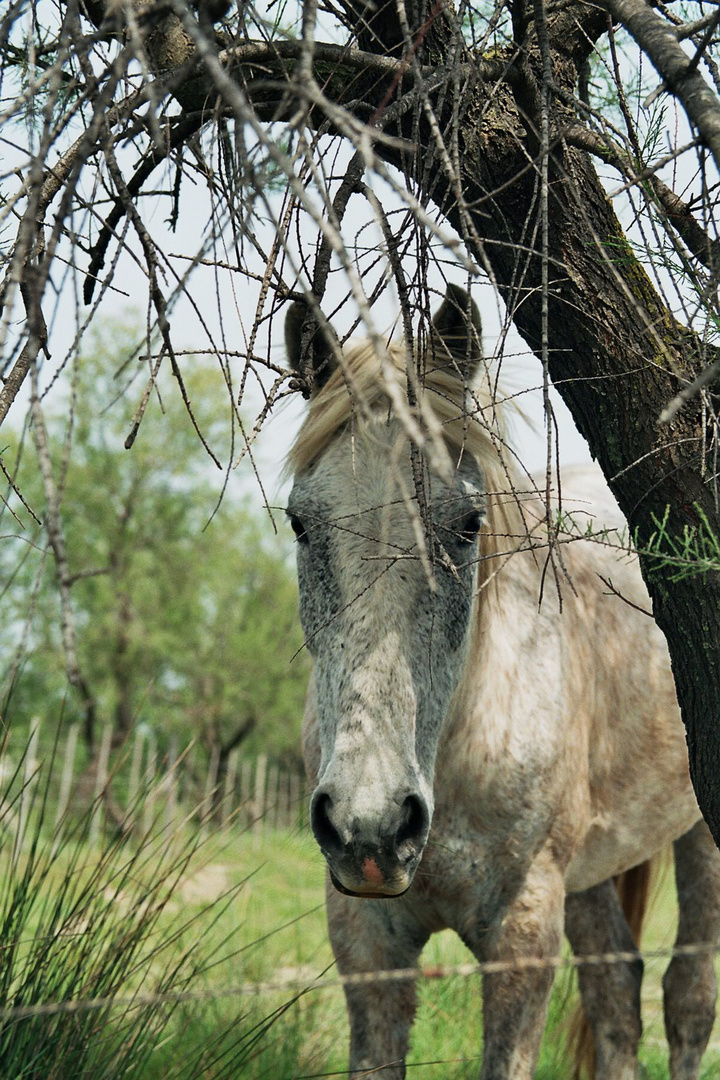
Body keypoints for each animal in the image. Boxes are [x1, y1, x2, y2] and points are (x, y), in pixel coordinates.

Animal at [280, 282, 720, 1075]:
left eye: (467, 523)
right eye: (301, 522)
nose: (373, 826)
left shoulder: (522, 935)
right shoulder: (365, 940)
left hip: (697, 831)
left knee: (688, 999)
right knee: (617, 993)